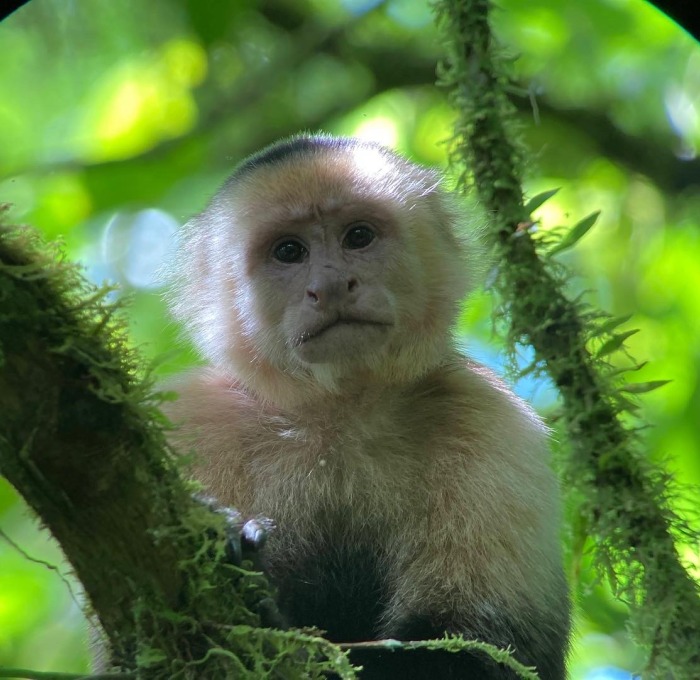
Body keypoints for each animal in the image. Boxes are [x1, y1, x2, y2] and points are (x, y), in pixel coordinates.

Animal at [163, 134, 568, 680]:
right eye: (289, 251)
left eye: (358, 237)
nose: (332, 286)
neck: (340, 411)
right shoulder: (198, 422)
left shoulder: (492, 423)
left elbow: (484, 651)